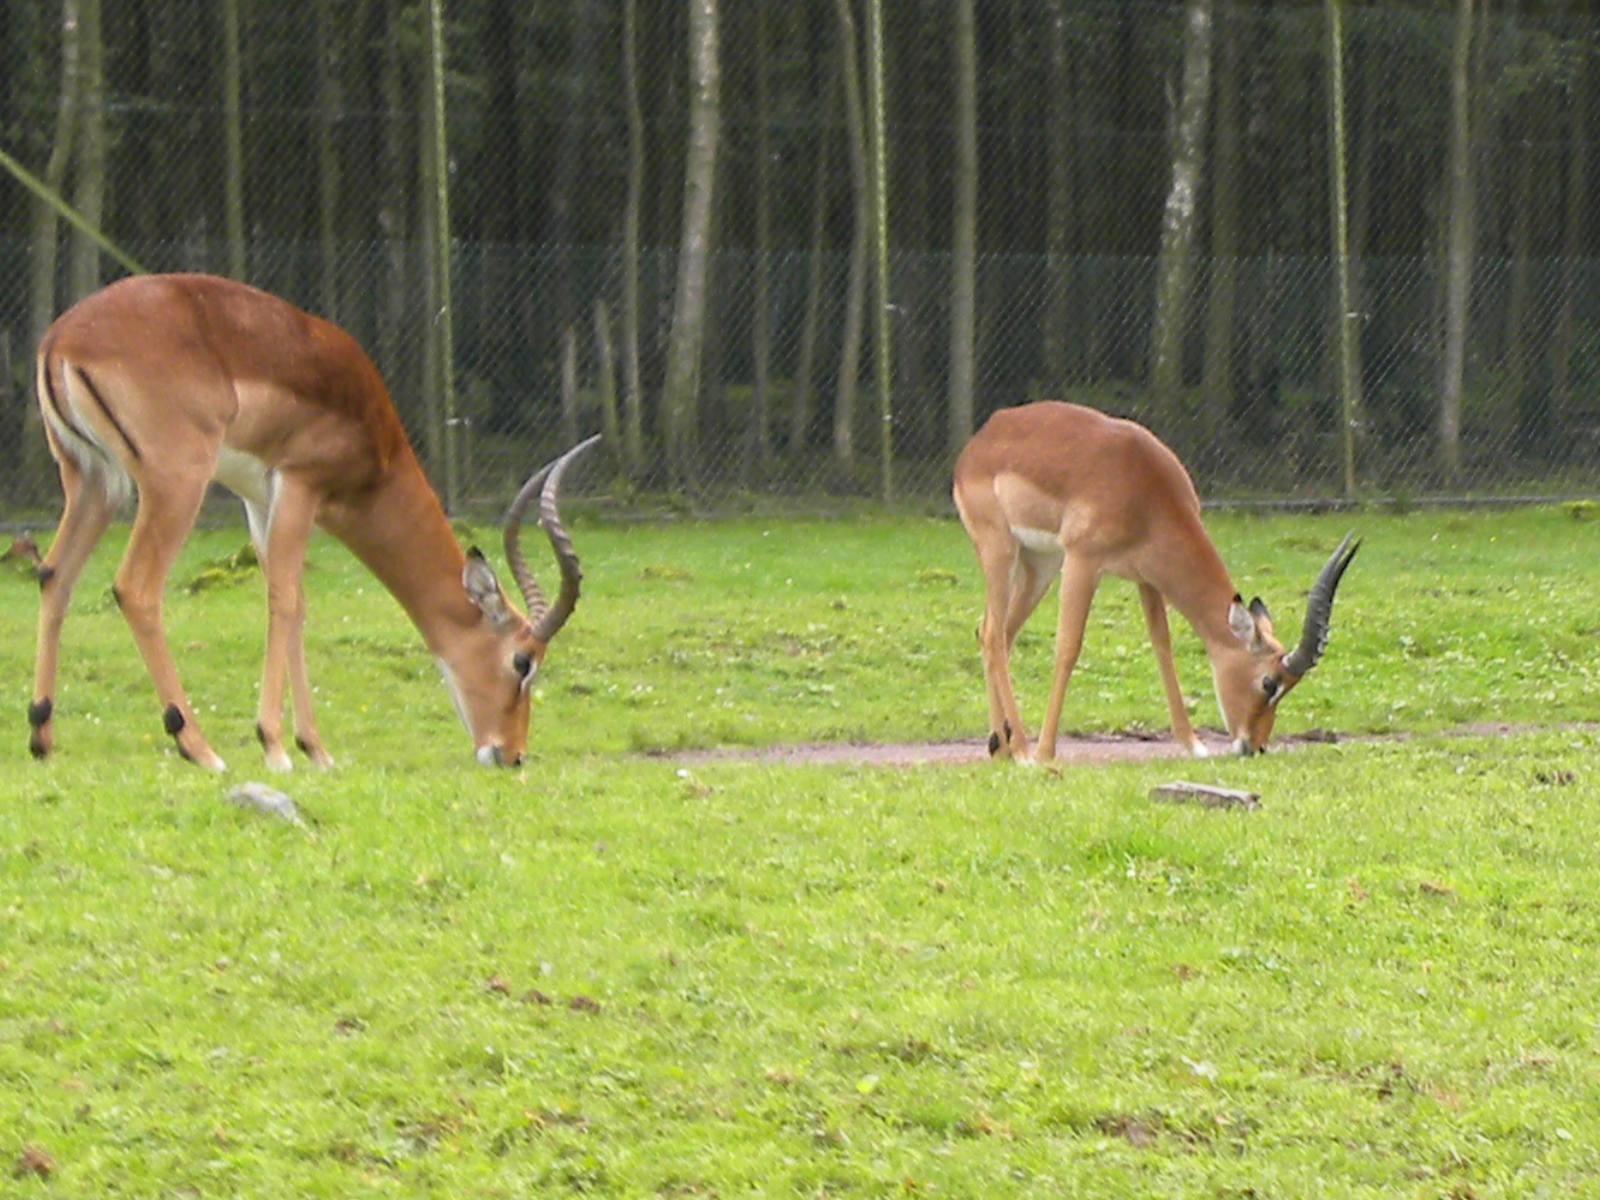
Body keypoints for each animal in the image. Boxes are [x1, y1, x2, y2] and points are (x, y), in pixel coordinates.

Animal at [29, 272, 600, 771]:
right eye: (523, 661)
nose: (510, 753)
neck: (373, 433)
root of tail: (61, 337)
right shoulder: (300, 485)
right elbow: (284, 601)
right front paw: (275, 747)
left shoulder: (260, 502)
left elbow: (299, 606)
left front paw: (316, 751)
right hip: (175, 483)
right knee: (136, 588)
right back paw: (200, 748)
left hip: (92, 480)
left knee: (55, 574)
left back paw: (42, 737)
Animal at [953, 401, 1359, 762]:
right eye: (1269, 682)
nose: (1254, 746)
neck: (1143, 484)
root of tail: (983, 439)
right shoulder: (1084, 561)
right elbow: (1068, 648)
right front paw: (1045, 754)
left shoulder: (1147, 575)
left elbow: (1163, 646)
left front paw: (1193, 745)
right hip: (1001, 550)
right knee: (994, 636)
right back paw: (1022, 750)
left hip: (1041, 564)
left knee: (995, 632)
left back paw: (1001, 748)